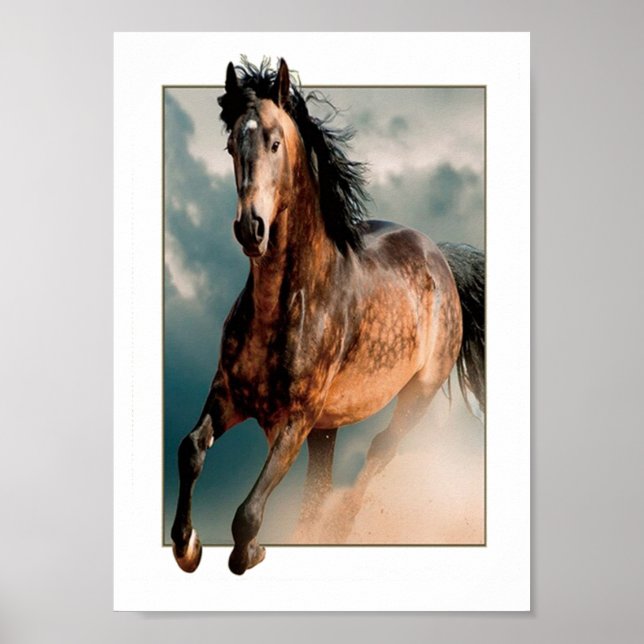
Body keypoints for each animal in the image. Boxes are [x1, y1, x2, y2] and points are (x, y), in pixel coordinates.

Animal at [171, 58, 485, 575]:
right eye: (232, 144)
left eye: (275, 142)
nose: (250, 228)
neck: (285, 303)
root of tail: (440, 256)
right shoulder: (230, 395)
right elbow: (191, 449)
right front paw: (187, 545)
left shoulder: (295, 419)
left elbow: (248, 514)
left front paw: (251, 551)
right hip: (328, 427)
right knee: (319, 487)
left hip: (416, 395)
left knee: (379, 451)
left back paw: (337, 527)